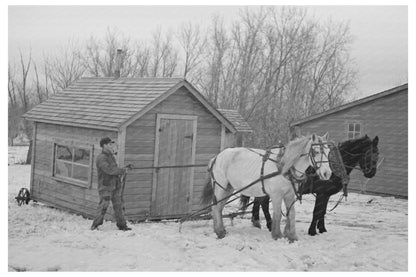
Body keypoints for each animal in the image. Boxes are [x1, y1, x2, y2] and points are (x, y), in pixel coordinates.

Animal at [202, 133, 332, 240]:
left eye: (328, 151)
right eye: (316, 151)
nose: (327, 173)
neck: (283, 167)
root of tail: (216, 157)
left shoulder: (289, 194)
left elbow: (291, 213)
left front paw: (292, 236)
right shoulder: (276, 195)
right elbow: (278, 214)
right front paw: (277, 235)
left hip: (228, 189)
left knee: (219, 208)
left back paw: (220, 230)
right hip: (220, 188)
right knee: (215, 207)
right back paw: (219, 232)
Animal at [242, 135, 378, 234]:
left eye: (378, 154)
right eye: (370, 154)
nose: (371, 173)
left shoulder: (326, 194)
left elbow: (322, 212)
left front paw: (322, 229)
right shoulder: (321, 193)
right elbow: (317, 212)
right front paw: (312, 231)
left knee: (258, 202)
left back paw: (256, 221)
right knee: (263, 203)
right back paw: (269, 224)